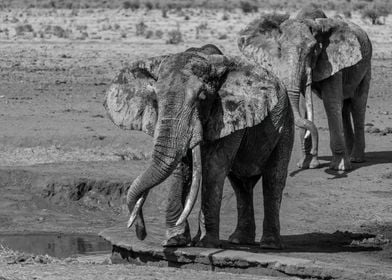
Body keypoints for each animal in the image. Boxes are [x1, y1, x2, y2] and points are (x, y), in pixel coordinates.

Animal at [104, 44, 294, 248]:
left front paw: (205, 243)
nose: (141, 232)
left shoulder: (230, 114)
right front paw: (174, 240)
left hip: (286, 122)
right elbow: (181, 167)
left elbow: (214, 166)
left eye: (202, 97)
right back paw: (238, 240)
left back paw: (269, 244)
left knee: (273, 179)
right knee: (241, 184)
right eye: (155, 99)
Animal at [237, 7, 372, 171]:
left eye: (313, 49)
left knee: (357, 105)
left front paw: (339, 167)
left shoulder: (333, 60)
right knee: (345, 107)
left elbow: (330, 102)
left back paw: (356, 159)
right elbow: (303, 104)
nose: (314, 151)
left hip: (367, 64)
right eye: (279, 49)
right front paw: (306, 165)